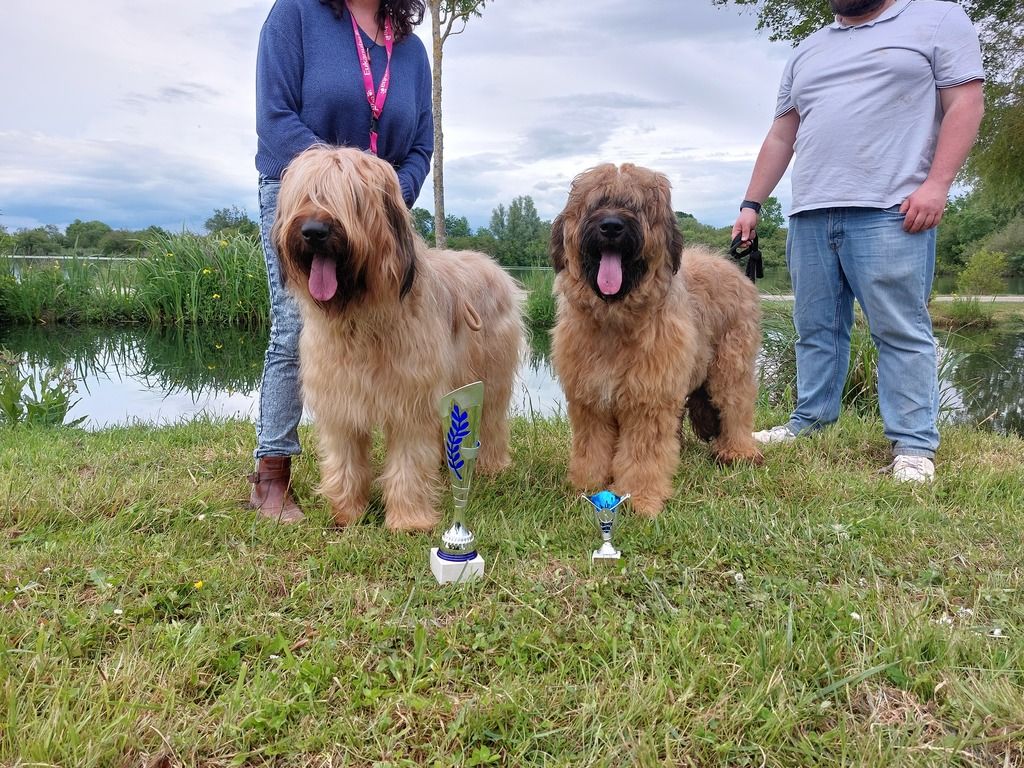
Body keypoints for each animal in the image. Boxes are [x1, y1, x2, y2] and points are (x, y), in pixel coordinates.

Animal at [274, 147, 524, 536]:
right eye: (305, 195)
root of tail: (493, 265)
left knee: (493, 420)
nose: (313, 232)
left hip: (487, 377)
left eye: (352, 198)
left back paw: (490, 465)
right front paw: (347, 513)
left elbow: (408, 459)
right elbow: (345, 457)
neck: (360, 314)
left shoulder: (411, 398)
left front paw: (408, 520)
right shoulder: (340, 399)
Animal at [552, 162, 761, 518]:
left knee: (736, 405)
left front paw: (640, 498)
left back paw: (737, 451)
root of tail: (730, 264)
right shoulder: (590, 399)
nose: (611, 226)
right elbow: (591, 446)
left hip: (729, 366)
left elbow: (643, 454)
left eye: (634, 205)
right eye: (597, 203)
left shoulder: (648, 398)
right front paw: (587, 485)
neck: (614, 320)